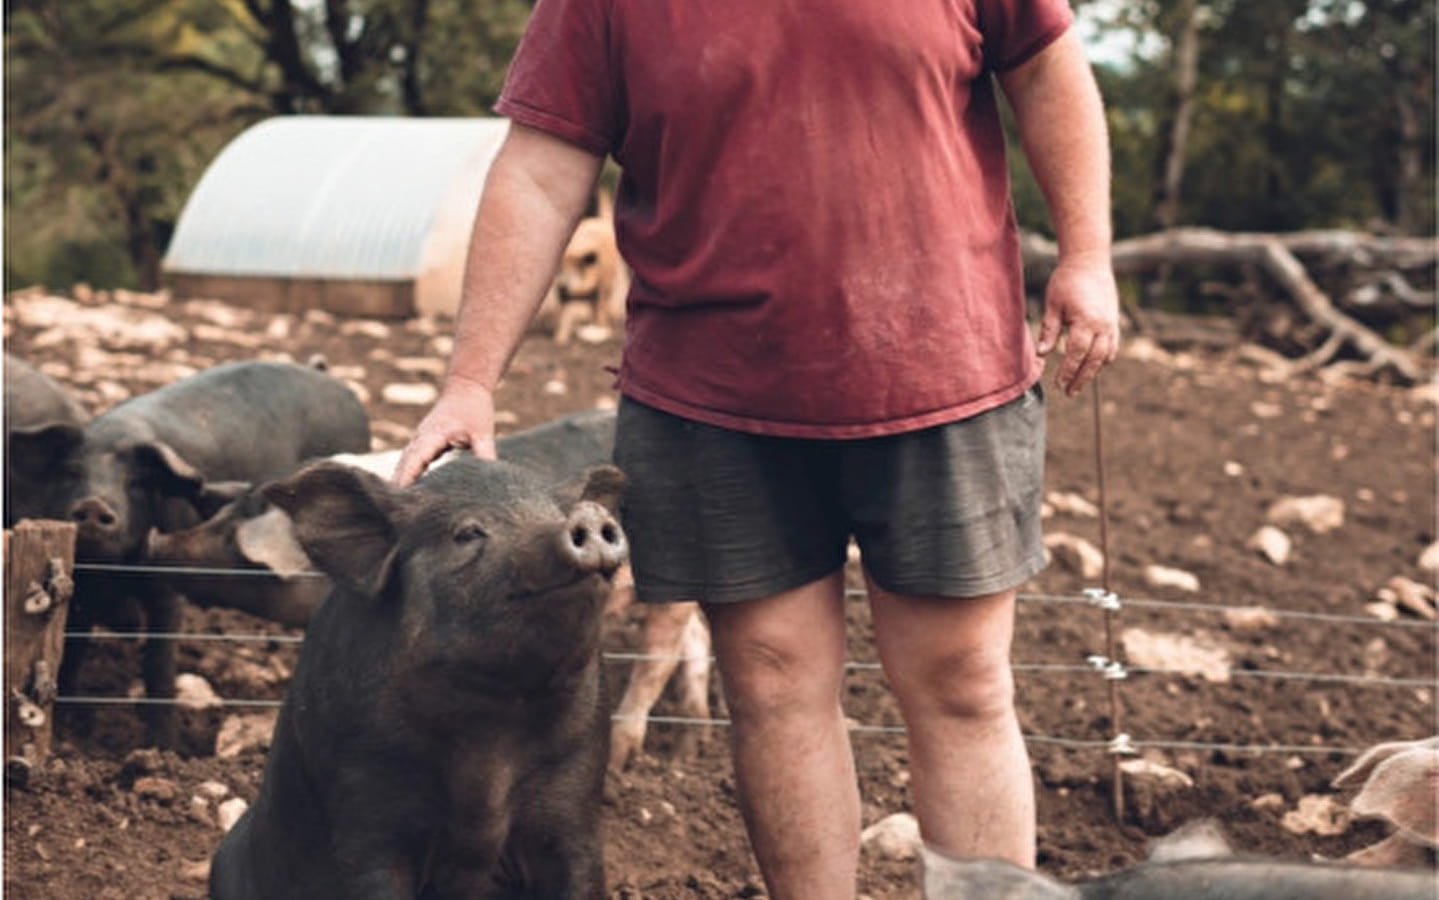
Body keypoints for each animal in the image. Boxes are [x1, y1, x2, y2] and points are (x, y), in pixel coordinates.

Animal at [8, 358, 368, 743]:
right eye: (71, 472)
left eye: (136, 482)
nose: (93, 504)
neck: (114, 571)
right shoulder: (82, 585)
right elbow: (73, 649)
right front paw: (68, 730)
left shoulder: (167, 587)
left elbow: (159, 662)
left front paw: (162, 747)